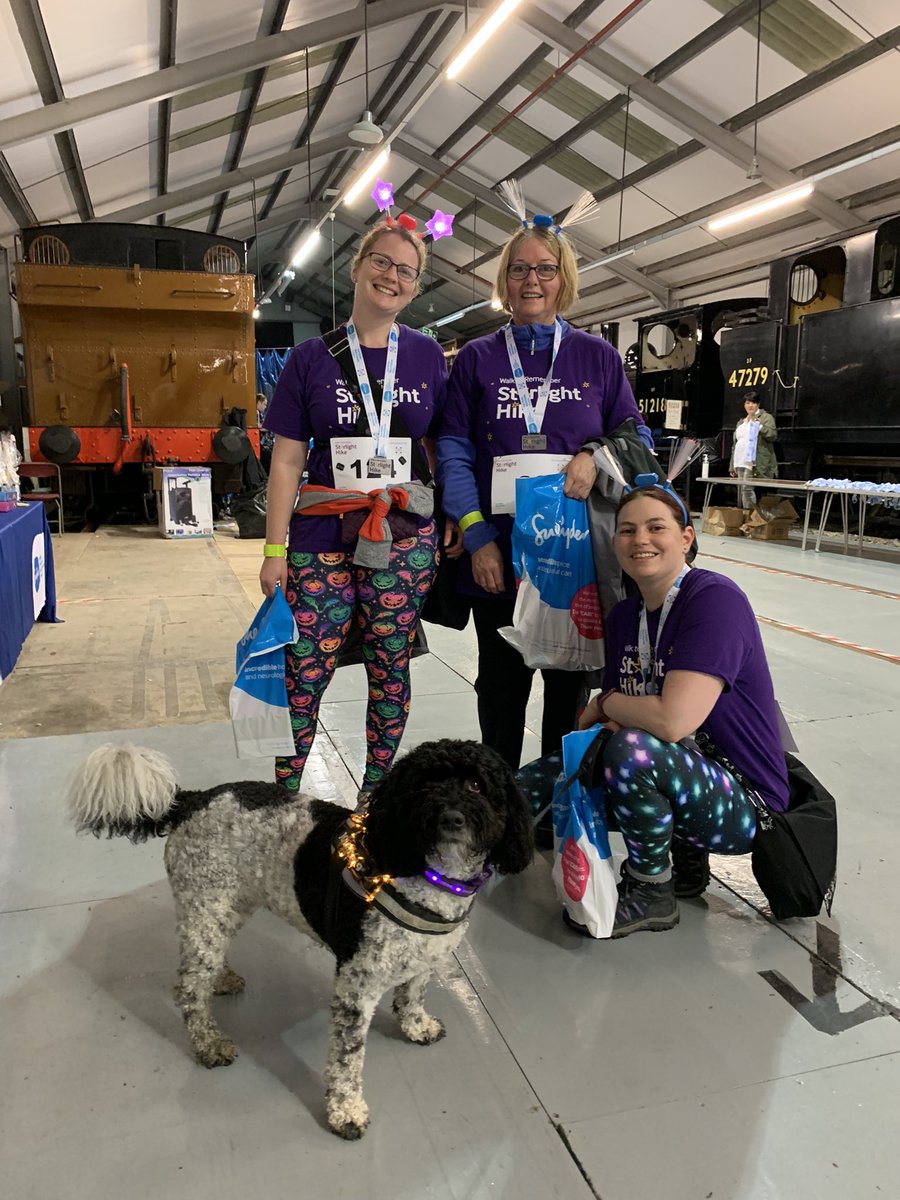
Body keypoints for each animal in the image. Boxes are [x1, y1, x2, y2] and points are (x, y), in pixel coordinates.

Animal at [72, 734, 535, 1137]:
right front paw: (346, 1112)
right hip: (205, 907)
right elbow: (347, 1061)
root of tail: (192, 798)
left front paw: (416, 1025)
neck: (425, 872)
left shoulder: (427, 957)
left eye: (476, 785)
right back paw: (208, 1042)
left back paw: (222, 978)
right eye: (424, 784)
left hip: (228, 906)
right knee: (187, 988)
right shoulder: (355, 988)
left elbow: (413, 995)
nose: (450, 817)